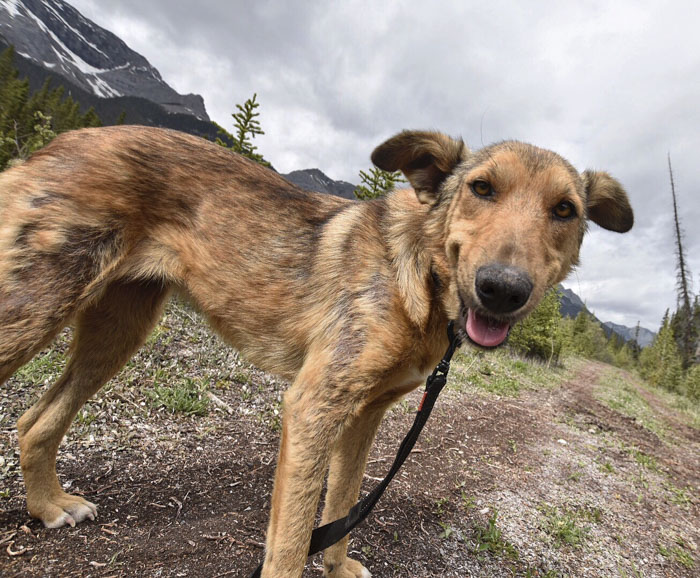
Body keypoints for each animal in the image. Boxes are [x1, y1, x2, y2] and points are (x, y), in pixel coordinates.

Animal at [0, 127, 636, 576]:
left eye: (564, 211)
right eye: (482, 188)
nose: (502, 289)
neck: (420, 275)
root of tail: (54, 145)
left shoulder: (364, 417)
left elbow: (342, 507)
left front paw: (335, 566)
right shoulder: (313, 408)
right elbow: (290, 539)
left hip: (117, 328)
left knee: (35, 420)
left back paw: (48, 507)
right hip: (32, 310)